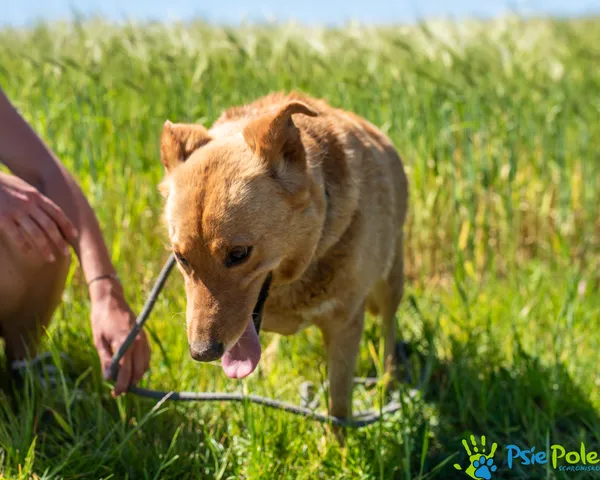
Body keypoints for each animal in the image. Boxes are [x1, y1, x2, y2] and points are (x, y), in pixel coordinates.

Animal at [157, 92, 408, 418]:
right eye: (181, 258)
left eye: (239, 253)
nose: (202, 353)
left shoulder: (345, 327)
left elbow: (338, 409)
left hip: (390, 282)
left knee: (389, 327)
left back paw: (390, 380)